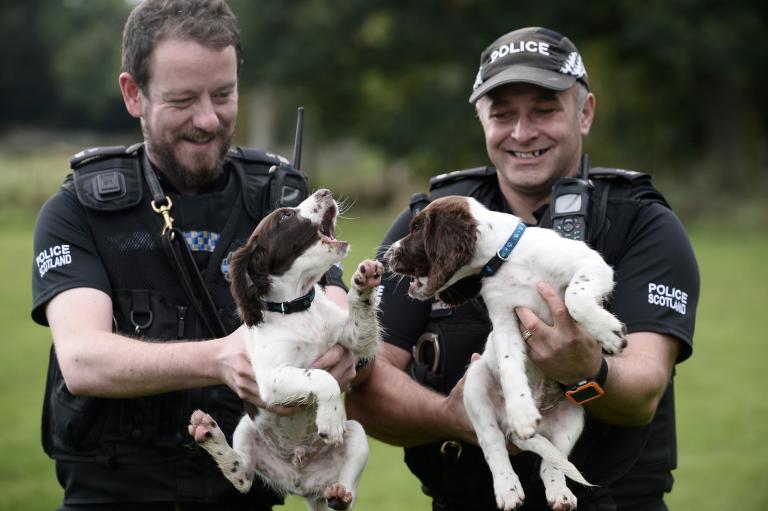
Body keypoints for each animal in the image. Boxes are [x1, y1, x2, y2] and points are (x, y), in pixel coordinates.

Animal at [189, 190, 380, 510]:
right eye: (285, 216)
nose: (325, 192)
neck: (297, 307)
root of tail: (300, 481)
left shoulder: (354, 338)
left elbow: (361, 327)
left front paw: (364, 282)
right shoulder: (271, 379)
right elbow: (320, 376)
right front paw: (330, 420)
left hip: (357, 434)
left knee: (344, 496)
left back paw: (340, 492)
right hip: (246, 428)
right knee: (243, 476)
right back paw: (209, 435)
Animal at [388, 196, 628, 511]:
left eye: (416, 229)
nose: (386, 256)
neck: (507, 258)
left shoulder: (590, 263)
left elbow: (574, 298)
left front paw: (608, 332)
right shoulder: (504, 321)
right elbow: (509, 366)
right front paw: (521, 412)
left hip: (574, 417)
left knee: (551, 464)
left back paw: (560, 493)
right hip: (475, 385)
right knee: (493, 444)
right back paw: (507, 488)